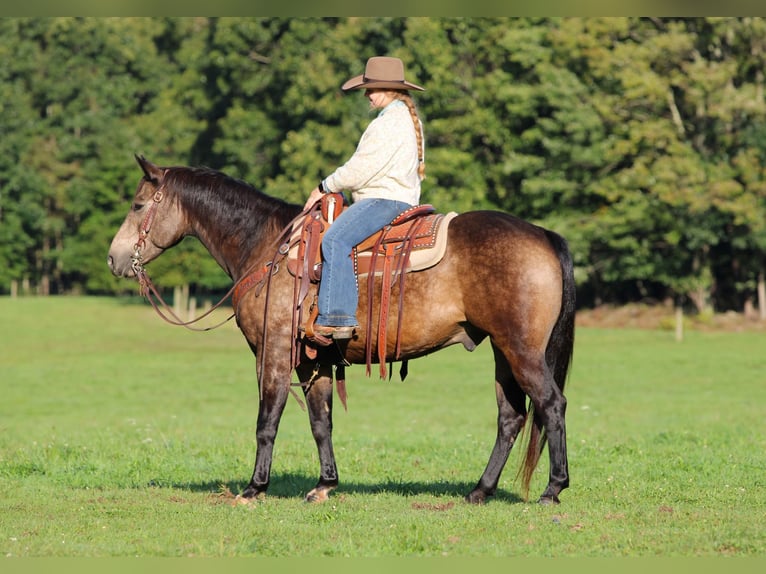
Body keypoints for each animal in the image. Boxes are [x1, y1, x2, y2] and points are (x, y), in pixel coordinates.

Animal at [107, 155, 575, 505]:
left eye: (137, 205)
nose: (114, 259)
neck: (268, 247)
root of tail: (542, 235)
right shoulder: (313, 361)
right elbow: (321, 421)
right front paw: (325, 484)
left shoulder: (273, 352)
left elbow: (267, 419)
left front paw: (254, 487)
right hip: (502, 351)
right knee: (511, 416)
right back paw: (480, 490)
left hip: (521, 350)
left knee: (551, 404)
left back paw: (553, 489)